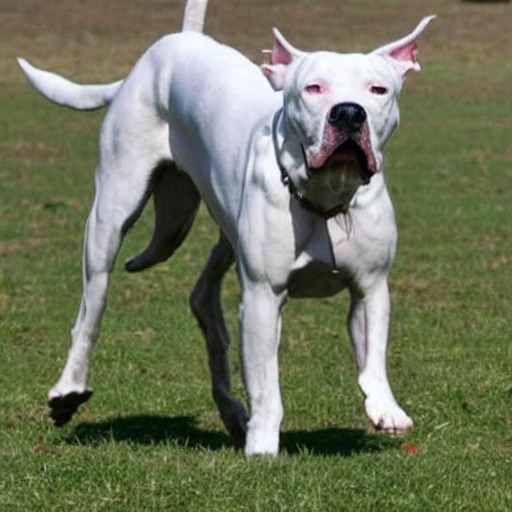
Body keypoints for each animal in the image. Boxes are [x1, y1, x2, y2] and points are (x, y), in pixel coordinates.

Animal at [21, 0, 436, 456]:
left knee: (203, 298)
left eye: (378, 90)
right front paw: (263, 443)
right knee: (91, 307)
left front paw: (385, 407)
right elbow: (266, 383)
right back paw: (69, 390)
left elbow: (372, 356)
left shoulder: (370, 286)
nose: (348, 112)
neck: (326, 196)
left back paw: (232, 412)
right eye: (313, 89)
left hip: (220, 228)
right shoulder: (262, 296)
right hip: (112, 214)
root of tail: (178, 40)